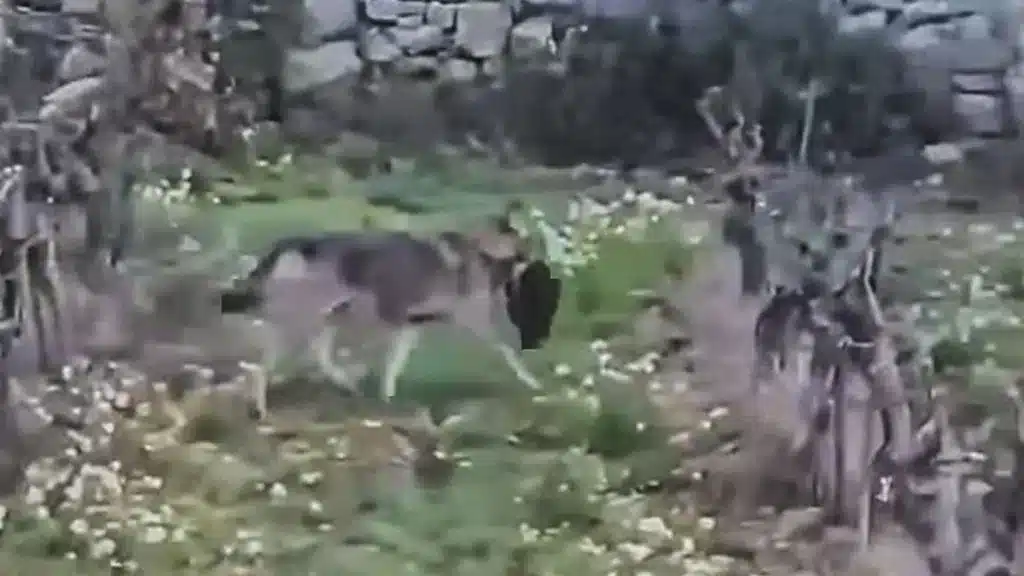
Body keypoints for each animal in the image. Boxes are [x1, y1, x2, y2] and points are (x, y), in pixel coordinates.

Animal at [219, 217, 562, 418]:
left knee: (318, 354)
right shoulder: (471, 320)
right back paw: (262, 408)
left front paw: (387, 397)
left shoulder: (408, 326)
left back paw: (345, 385)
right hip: (304, 320)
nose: (537, 255)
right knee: (265, 367)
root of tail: (295, 244)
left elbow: (394, 364)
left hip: (326, 318)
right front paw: (531, 382)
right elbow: (507, 351)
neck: (484, 254)